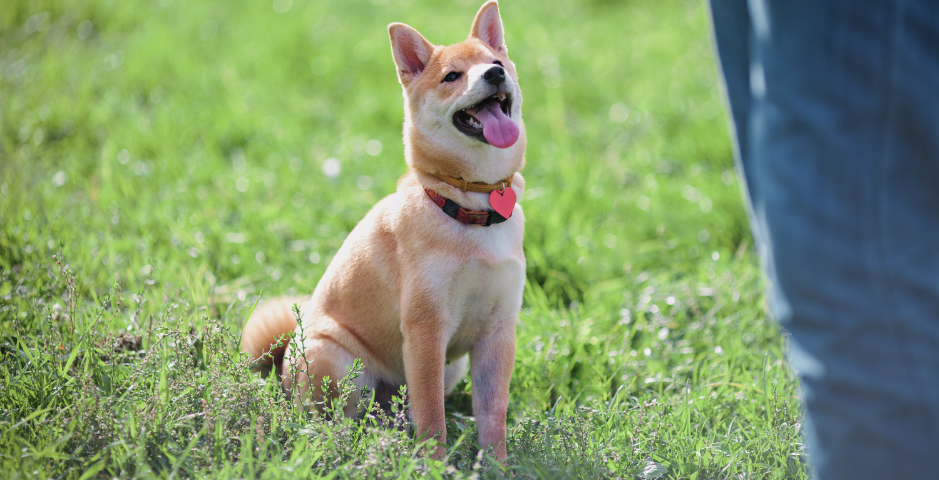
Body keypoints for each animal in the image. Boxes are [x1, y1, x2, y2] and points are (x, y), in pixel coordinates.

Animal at [239, 0, 524, 460]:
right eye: (452, 76)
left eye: (496, 64)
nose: (495, 75)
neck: (469, 204)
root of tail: (282, 365)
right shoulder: (425, 331)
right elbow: (431, 416)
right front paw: (434, 464)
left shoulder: (498, 333)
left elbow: (492, 413)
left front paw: (495, 463)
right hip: (337, 361)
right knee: (332, 419)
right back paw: (347, 442)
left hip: (451, 367)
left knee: (396, 411)